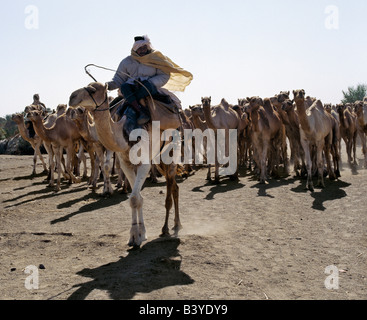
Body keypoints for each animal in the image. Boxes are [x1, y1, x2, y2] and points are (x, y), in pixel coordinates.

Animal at [68, 82, 183, 248]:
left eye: (92, 90)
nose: (72, 98)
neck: (124, 132)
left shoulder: (144, 162)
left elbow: (135, 198)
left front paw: (135, 237)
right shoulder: (126, 162)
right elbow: (137, 197)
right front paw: (140, 233)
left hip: (173, 151)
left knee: (171, 184)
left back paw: (172, 227)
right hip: (159, 158)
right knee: (174, 185)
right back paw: (171, 226)